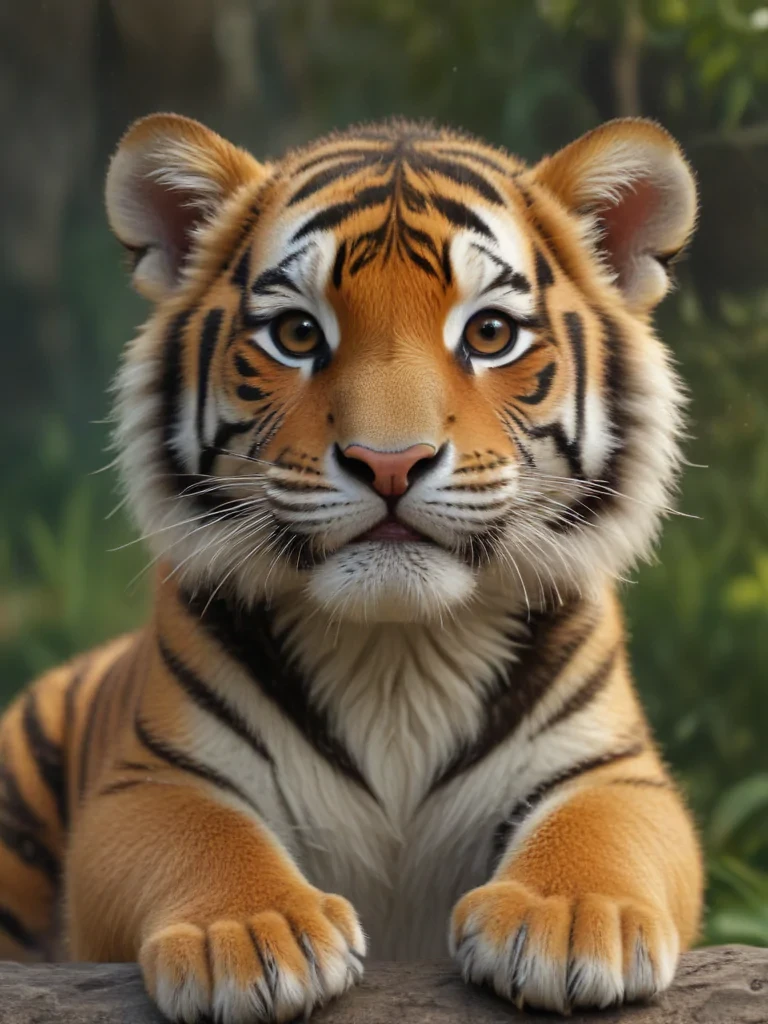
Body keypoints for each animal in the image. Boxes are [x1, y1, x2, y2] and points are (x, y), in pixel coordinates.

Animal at [0, 112, 702, 1020]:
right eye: (298, 334)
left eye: (490, 333)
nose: (390, 462)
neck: (395, 651)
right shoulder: (150, 780)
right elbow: (207, 836)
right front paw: (251, 935)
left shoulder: (615, 770)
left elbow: (599, 829)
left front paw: (571, 917)